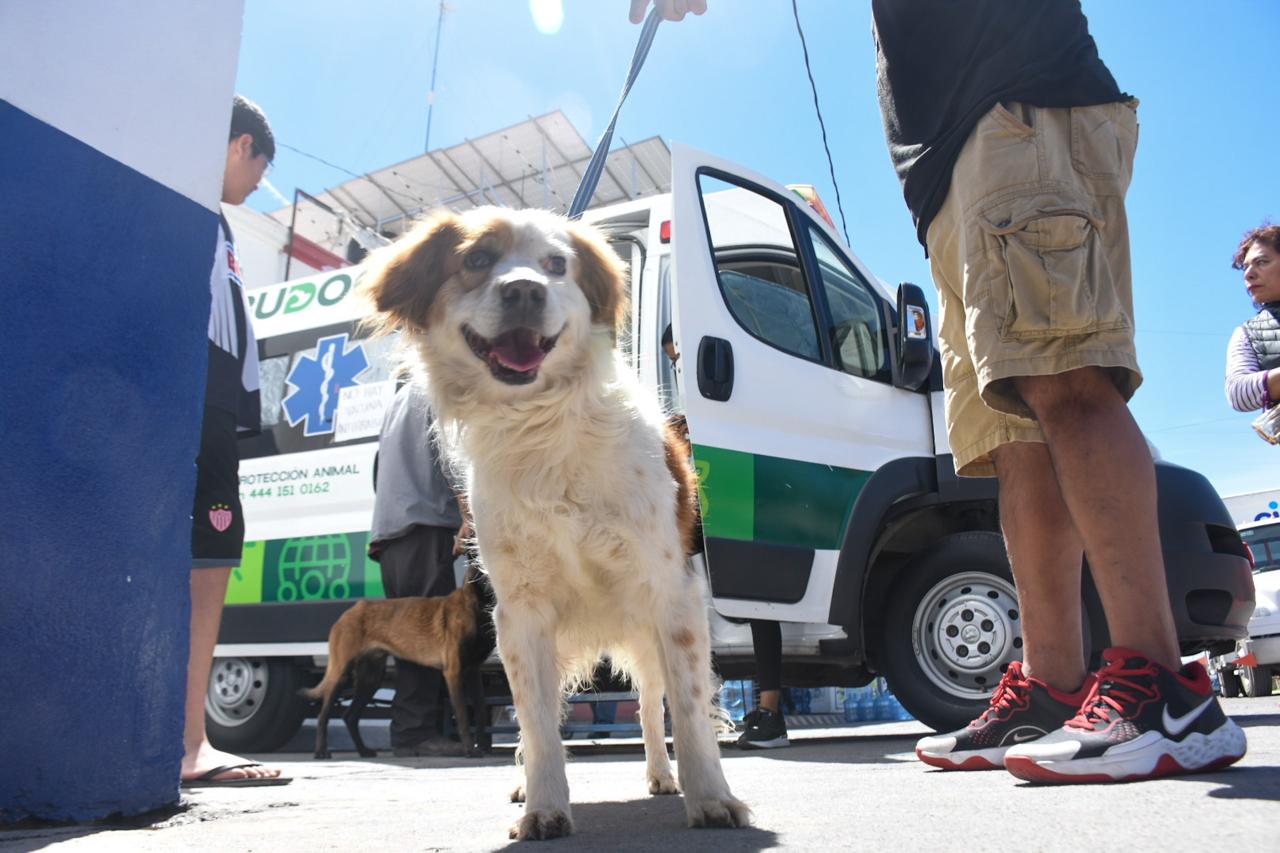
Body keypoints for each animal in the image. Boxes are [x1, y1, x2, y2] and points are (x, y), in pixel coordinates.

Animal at [304, 563, 494, 758]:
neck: (475, 607)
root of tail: (350, 611)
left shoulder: (473, 672)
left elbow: (480, 711)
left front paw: (482, 745)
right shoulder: (453, 673)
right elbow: (463, 716)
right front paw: (470, 749)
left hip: (370, 680)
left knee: (350, 717)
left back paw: (363, 750)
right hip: (341, 675)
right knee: (323, 716)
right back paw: (320, 751)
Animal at [360, 206, 747, 835]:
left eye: (556, 265)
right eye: (476, 259)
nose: (524, 290)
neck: (541, 426)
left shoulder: (671, 593)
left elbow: (687, 709)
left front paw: (711, 796)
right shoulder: (521, 614)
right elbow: (537, 721)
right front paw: (543, 806)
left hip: (645, 632)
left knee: (650, 705)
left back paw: (661, 776)